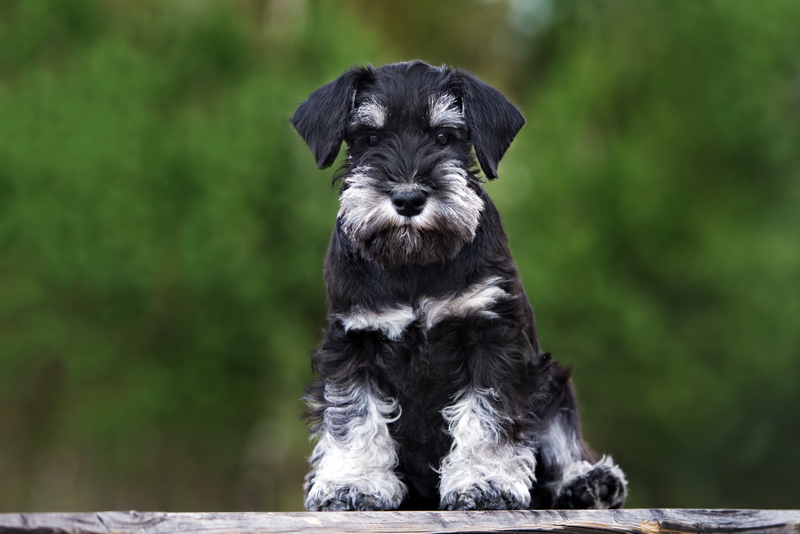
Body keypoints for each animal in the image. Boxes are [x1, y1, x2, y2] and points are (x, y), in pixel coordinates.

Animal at [290, 60, 628, 512]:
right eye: (370, 138)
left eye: (444, 137)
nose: (408, 198)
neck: (414, 263)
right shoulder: (353, 342)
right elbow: (354, 414)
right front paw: (353, 483)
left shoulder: (491, 336)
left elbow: (488, 417)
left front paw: (485, 482)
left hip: (552, 379)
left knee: (561, 441)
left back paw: (589, 481)